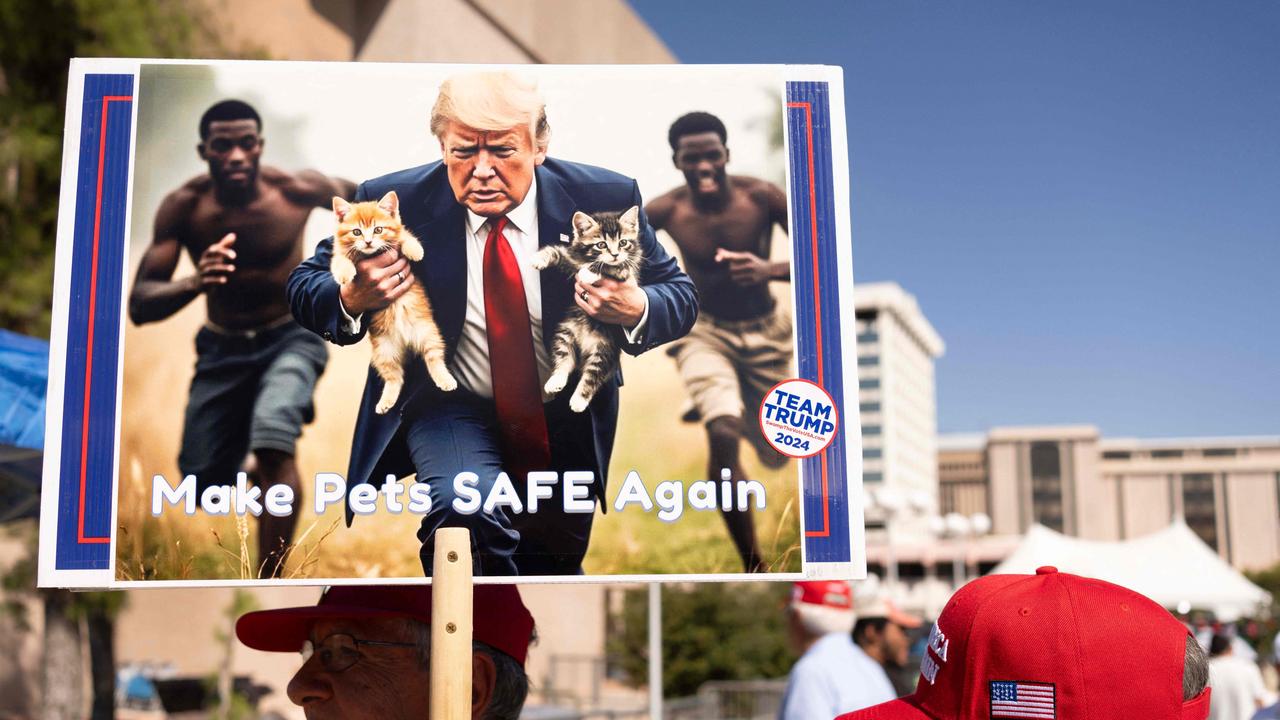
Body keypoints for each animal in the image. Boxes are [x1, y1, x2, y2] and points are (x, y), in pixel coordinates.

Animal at [330, 189, 455, 415]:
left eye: (378, 229)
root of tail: (406, 341)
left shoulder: (399, 236)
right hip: (383, 351)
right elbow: (340, 261)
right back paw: (386, 401)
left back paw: (445, 379)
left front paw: (415, 250)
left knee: (434, 358)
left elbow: (406, 236)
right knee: (395, 377)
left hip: (428, 333)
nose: (368, 242)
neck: (370, 254)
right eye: (356, 232)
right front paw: (344, 274)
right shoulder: (339, 254)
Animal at [527, 204, 640, 412]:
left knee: (593, 375)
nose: (615, 254)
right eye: (601, 245)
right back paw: (556, 380)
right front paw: (539, 259)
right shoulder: (572, 261)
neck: (588, 259)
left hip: (605, 348)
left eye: (623, 243)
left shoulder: (627, 273)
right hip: (566, 332)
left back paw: (579, 400)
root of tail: (584, 345)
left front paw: (591, 272)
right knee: (565, 359)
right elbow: (557, 252)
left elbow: (611, 268)